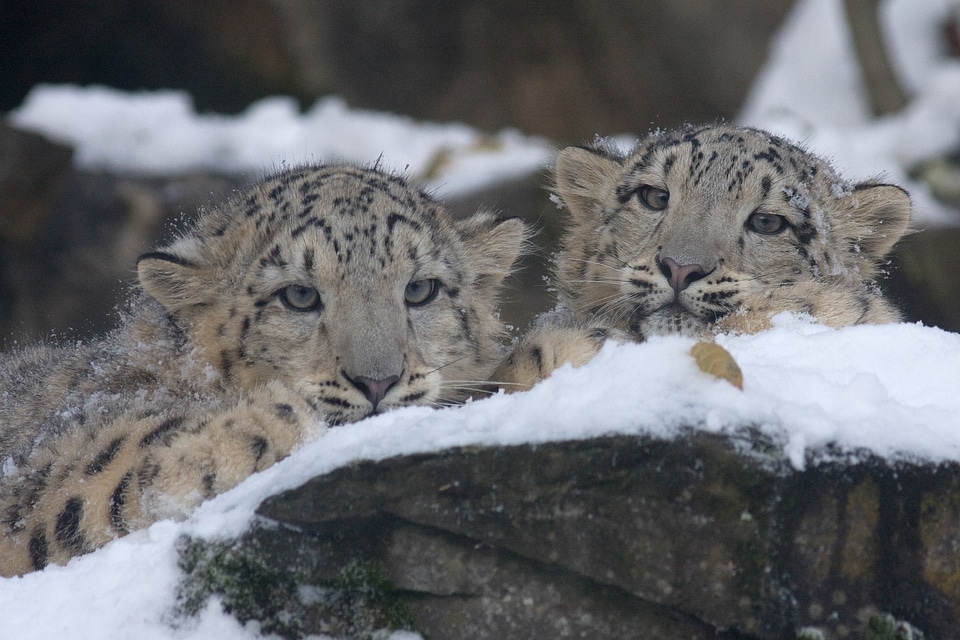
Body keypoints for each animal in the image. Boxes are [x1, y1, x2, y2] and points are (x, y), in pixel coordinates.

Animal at [0, 164, 524, 576]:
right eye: (300, 295)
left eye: (420, 289)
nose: (378, 381)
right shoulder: (36, 473)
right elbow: (98, 469)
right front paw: (258, 422)